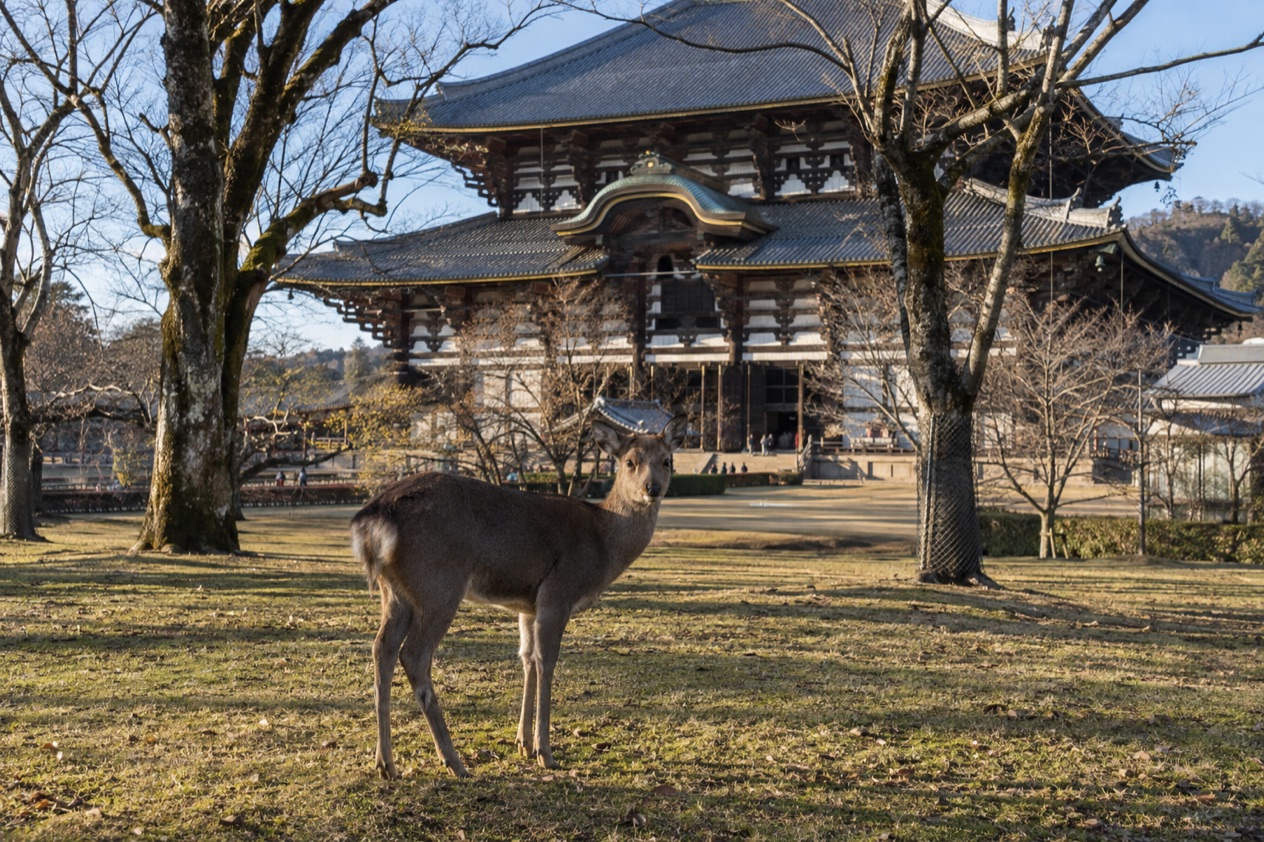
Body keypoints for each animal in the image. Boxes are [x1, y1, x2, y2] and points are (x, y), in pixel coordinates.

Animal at [352, 414, 688, 778]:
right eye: (630, 462)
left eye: (666, 461)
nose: (652, 488)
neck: (602, 542)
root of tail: (374, 515)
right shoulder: (558, 592)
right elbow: (546, 661)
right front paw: (545, 752)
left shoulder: (527, 605)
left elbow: (526, 658)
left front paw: (522, 743)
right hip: (439, 584)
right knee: (413, 655)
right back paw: (453, 761)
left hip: (396, 592)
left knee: (382, 648)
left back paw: (386, 763)